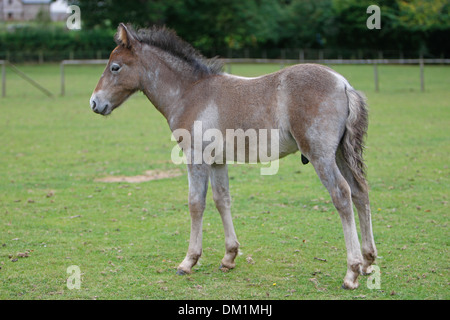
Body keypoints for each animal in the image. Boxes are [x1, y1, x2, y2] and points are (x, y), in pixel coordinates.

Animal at [89, 24, 376, 290]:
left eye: (115, 67)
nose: (94, 103)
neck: (189, 93)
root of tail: (343, 83)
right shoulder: (218, 161)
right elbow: (222, 200)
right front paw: (229, 257)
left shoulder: (196, 158)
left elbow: (196, 204)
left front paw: (188, 261)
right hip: (340, 154)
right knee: (360, 192)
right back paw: (368, 262)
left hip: (321, 156)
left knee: (342, 194)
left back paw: (351, 272)